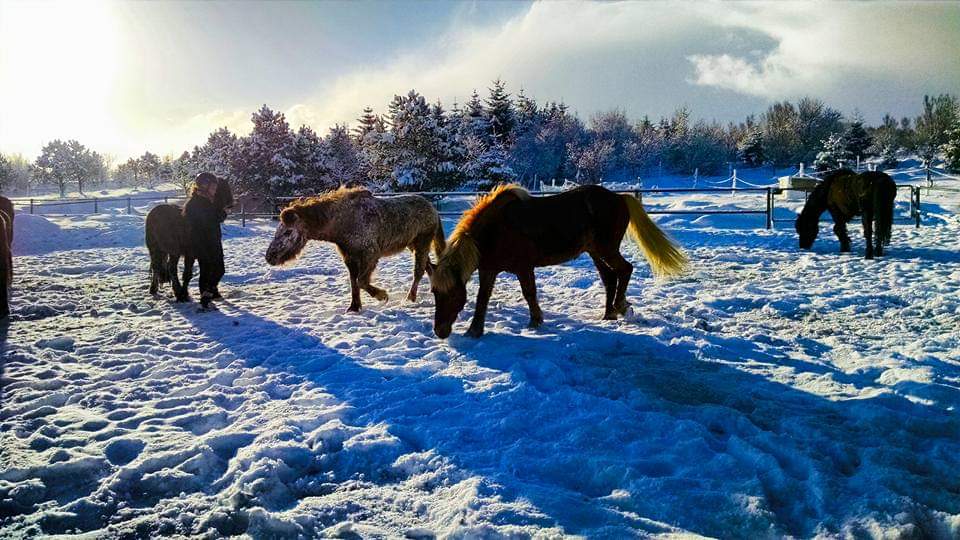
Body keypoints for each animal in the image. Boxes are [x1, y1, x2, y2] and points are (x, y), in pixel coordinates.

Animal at [266, 187, 446, 310]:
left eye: (288, 231)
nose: (270, 256)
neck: (344, 222)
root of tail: (433, 209)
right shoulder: (350, 257)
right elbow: (354, 283)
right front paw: (354, 307)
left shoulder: (370, 254)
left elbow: (361, 281)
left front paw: (382, 295)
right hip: (412, 244)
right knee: (429, 267)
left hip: (422, 243)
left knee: (419, 271)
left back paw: (410, 298)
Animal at [432, 186, 688, 338]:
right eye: (435, 293)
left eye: (453, 295)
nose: (440, 331)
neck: (495, 230)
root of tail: (619, 197)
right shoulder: (489, 269)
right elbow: (482, 298)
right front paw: (474, 331)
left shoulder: (523, 268)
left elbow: (529, 293)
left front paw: (535, 322)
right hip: (595, 252)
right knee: (610, 278)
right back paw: (608, 315)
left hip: (606, 249)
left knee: (625, 270)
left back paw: (619, 307)